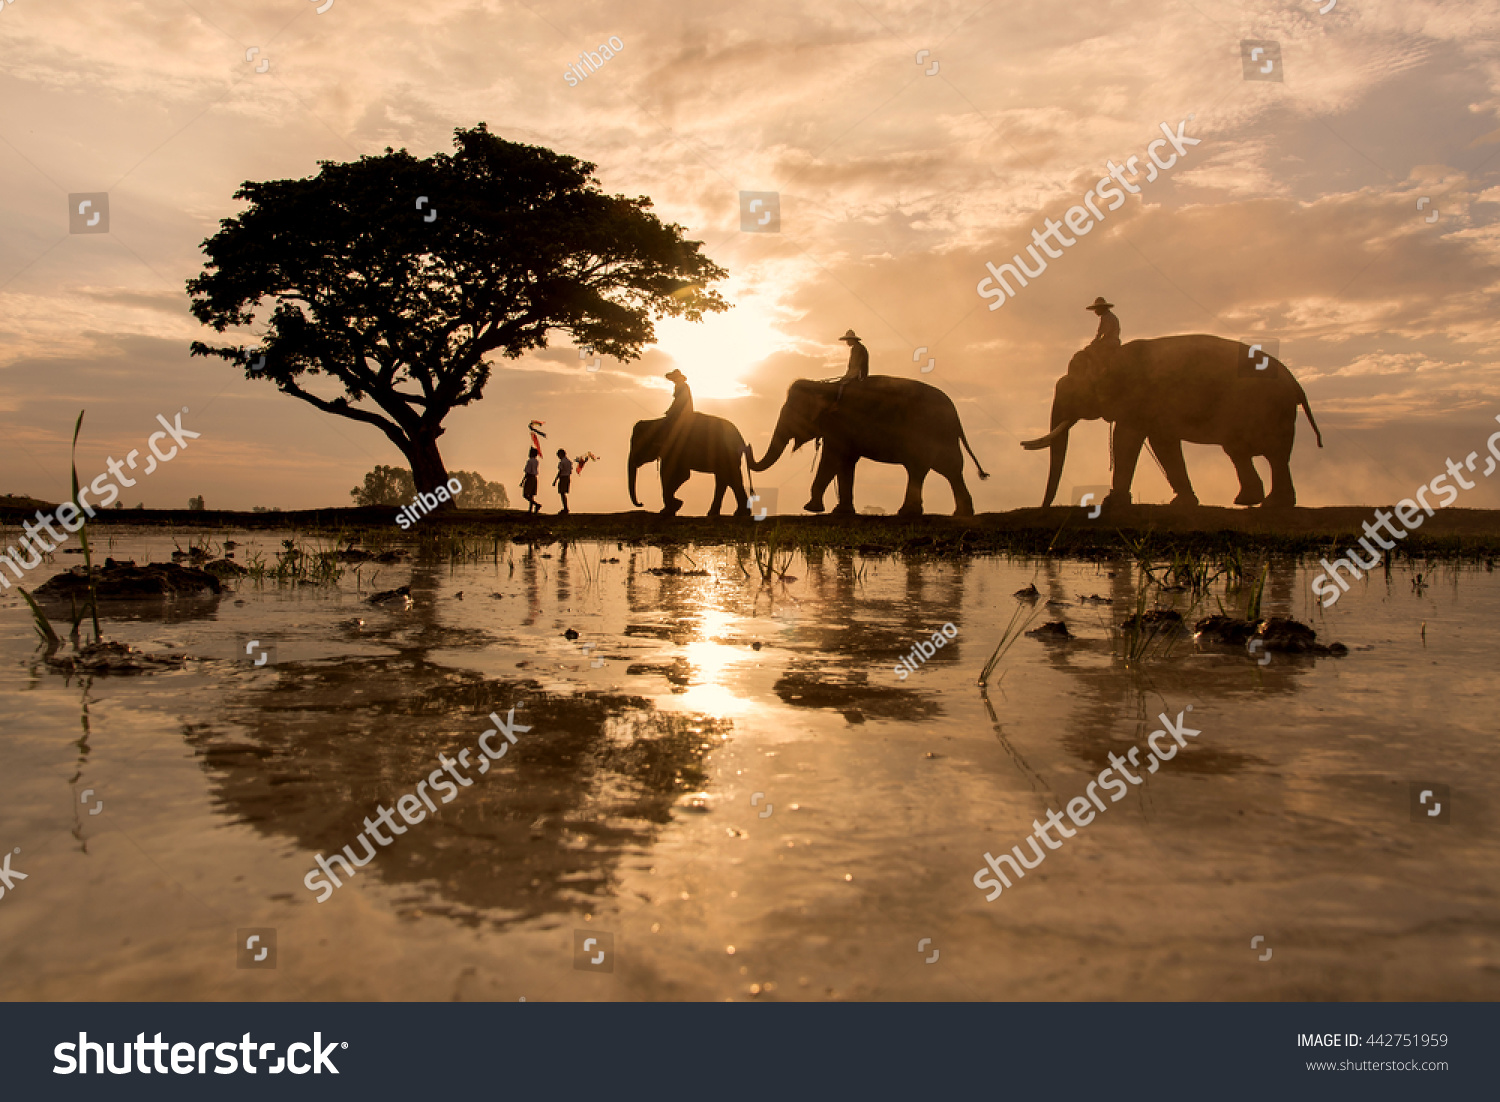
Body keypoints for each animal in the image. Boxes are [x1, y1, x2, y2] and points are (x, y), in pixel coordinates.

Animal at [747, 376, 990, 517]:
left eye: (792, 413)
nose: (747, 446)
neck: (825, 386)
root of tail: (955, 413)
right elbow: (845, 463)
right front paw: (841, 512)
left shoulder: (839, 425)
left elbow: (832, 460)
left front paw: (811, 508)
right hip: (943, 435)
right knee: (949, 469)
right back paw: (961, 513)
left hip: (928, 431)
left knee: (922, 468)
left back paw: (907, 513)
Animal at [1021, 335, 1323, 509]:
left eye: (1072, 392)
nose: (1043, 508)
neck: (1112, 356)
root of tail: (1295, 383)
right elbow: (1162, 442)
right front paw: (1182, 503)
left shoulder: (1139, 396)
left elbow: (1127, 438)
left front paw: (1112, 502)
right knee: (1244, 452)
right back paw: (1254, 502)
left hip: (1268, 409)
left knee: (1271, 454)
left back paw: (1271, 505)